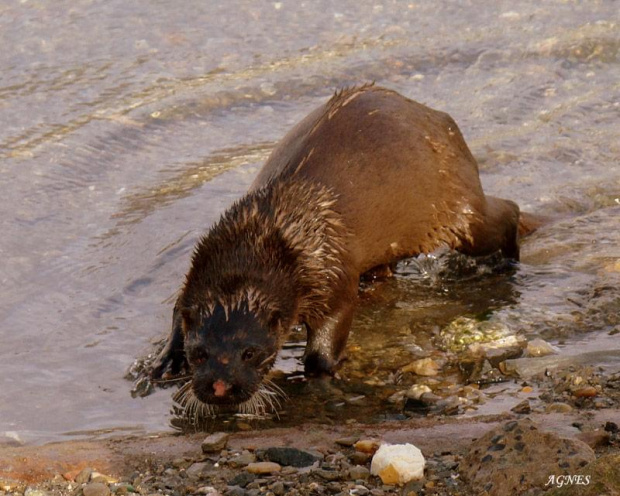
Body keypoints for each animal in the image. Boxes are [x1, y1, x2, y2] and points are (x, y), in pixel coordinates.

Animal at [151, 84, 532, 410]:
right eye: (200, 352)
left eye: (250, 352)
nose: (219, 387)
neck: (270, 235)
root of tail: (439, 118)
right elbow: (177, 310)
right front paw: (166, 360)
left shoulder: (330, 272)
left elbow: (330, 330)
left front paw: (319, 375)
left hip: (458, 212)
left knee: (506, 213)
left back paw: (508, 262)